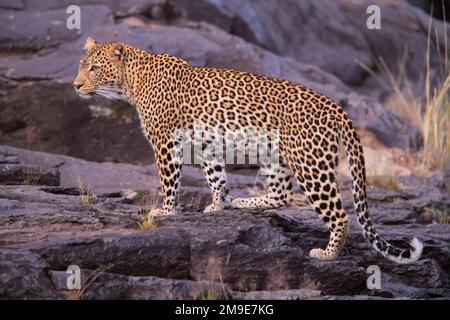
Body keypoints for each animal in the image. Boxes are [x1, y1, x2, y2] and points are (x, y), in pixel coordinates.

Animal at [73, 36, 422, 264]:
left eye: (94, 69)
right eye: (81, 66)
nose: (76, 85)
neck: (131, 82)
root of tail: (339, 109)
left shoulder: (165, 143)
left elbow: (169, 181)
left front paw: (165, 211)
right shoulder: (208, 143)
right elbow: (216, 177)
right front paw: (219, 205)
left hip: (311, 165)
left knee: (341, 215)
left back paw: (327, 254)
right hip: (275, 157)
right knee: (282, 194)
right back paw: (245, 203)